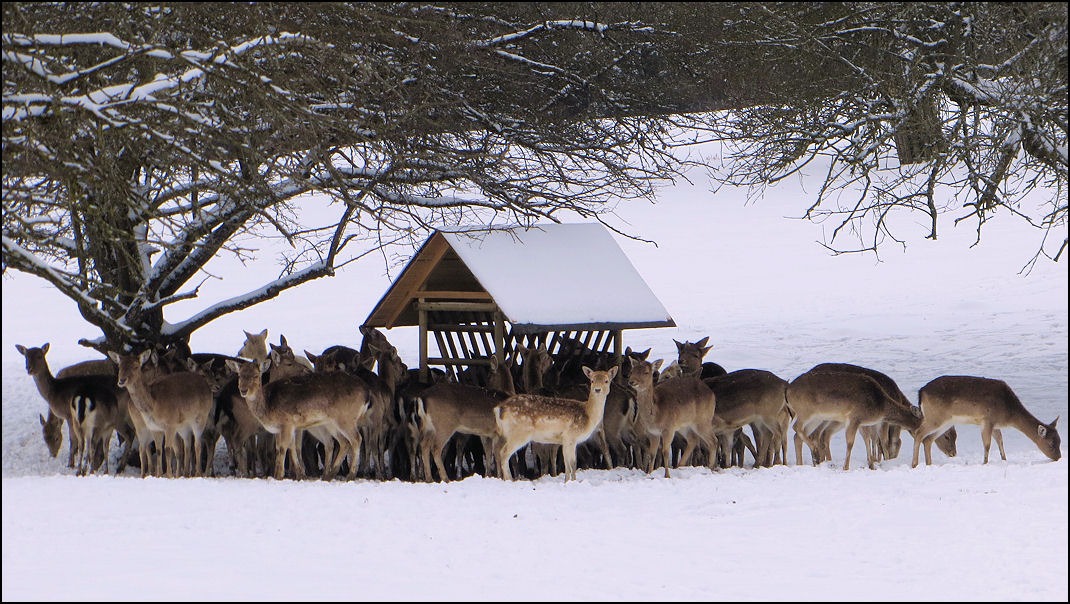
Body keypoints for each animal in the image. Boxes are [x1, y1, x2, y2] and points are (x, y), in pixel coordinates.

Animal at [110, 349, 215, 477]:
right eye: (119, 366)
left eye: (136, 366)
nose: (121, 380)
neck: (154, 404)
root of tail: (207, 386)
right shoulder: (155, 428)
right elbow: (160, 450)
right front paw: (160, 475)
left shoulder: (170, 424)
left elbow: (168, 450)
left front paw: (169, 475)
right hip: (182, 426)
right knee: (186, 445)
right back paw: (184, 474)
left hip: (201, 418)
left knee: (197, 445)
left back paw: (198, 474)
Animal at [225, 357, 372, 481]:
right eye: (240, 375)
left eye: (256, 375)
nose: (243, 390)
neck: (267, 405)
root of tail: (366, 393)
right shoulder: (286, 428)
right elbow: (290, 447)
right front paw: (300, 475)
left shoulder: (287, 422)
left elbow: (283, 448)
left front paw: (278, 476)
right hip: (332, 423)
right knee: (342, 442)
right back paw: (329, 475)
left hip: (346, 418)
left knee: (356, 439)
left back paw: (350, 475)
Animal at [783, 368, 924, 471]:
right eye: (921, 423)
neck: (880, 405)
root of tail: (787, 390)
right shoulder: (854, 417)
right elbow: (850, 443)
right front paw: (846, 467)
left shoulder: (862, 423)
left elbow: (867, 439)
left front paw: (871, 465)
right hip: (805, 412)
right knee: (796, 427)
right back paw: (815, 453)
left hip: (816, 418)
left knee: (799, 435)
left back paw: (804, 462)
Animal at [911, 376, 1061, 466]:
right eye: (1051, 443)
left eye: (1060, 441)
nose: (1059, 458)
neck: (1008, 413)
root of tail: (921, 392)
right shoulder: (987, 420)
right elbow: (987, 444)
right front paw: (984, 463)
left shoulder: (995, 424)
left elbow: (1000, 440)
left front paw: (1004, 460)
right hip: (935, 417)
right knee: (918, 433)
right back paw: (914, 464)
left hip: (945, 422)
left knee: (928, 439)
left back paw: (929, 464)